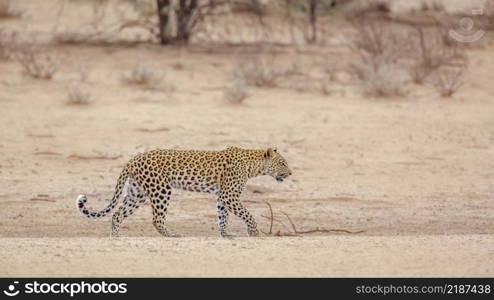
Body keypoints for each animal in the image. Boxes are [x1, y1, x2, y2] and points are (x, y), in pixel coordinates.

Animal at [76, 146, 292, 238]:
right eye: (282, 163)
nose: (290, 173)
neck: (252, 166)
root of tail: (133, 159)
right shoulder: (229, 195)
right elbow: (247, 214)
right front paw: (254, 232)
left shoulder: (222, 196)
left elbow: (223, 216)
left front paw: (226, 234)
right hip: (161, 189)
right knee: (156, 218)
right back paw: (171, 234)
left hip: (137, 192)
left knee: (118, 214)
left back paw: (116, 236)